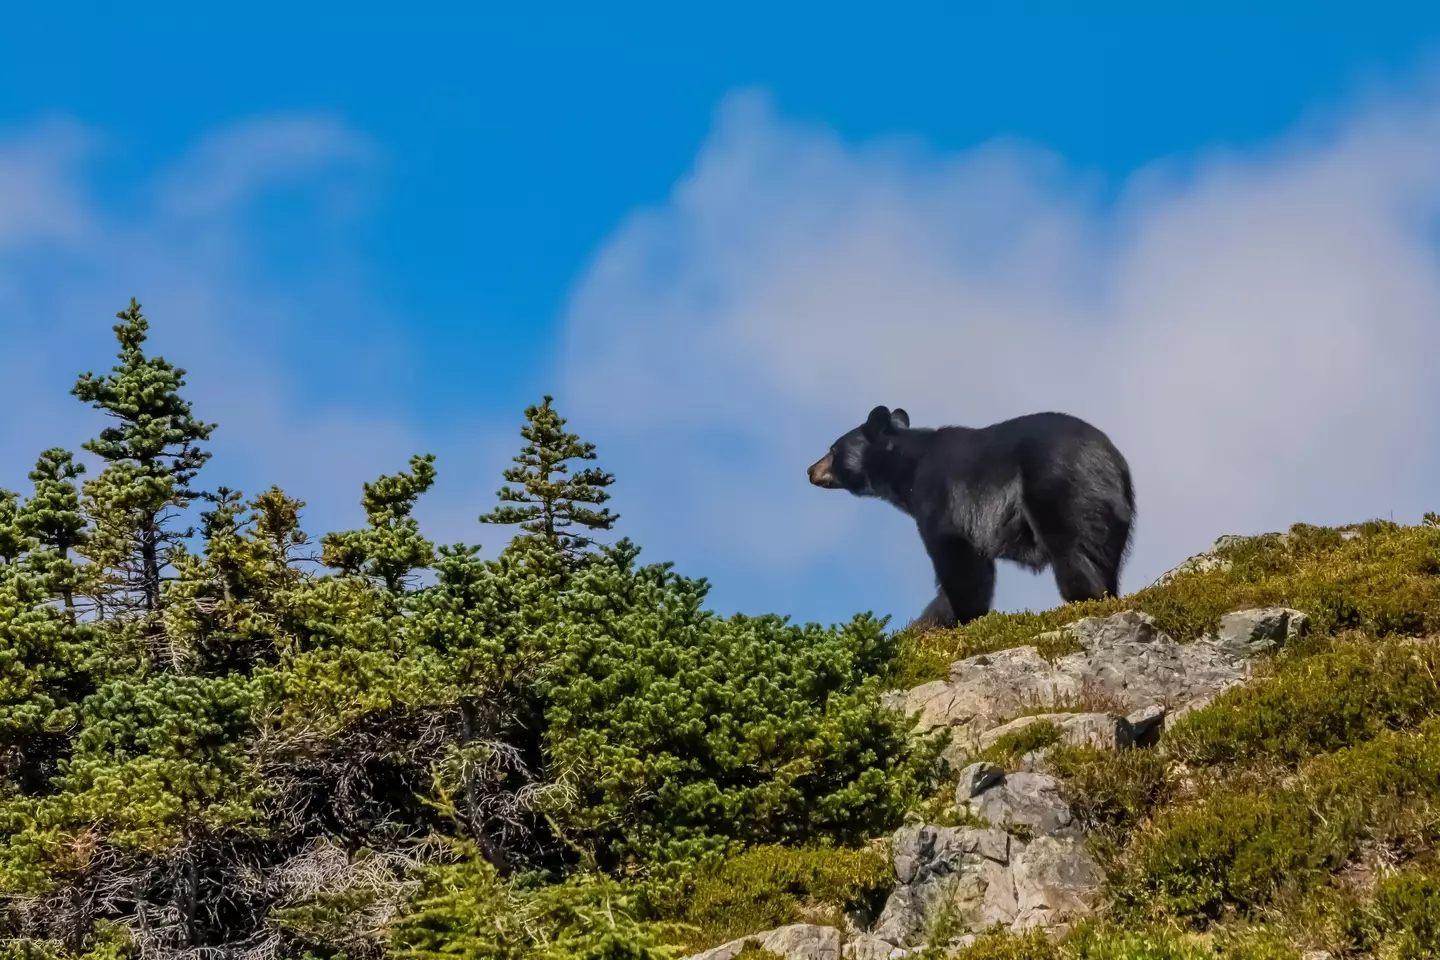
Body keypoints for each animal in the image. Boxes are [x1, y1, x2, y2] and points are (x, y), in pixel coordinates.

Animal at [807, 406, 1135, 629]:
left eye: (832, 449)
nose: (810, 469)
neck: (907, 470)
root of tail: (1109, 459)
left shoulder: (941, 496)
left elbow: (959, 560)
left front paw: (961, 616)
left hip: (1059, 490)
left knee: (1072, 552)